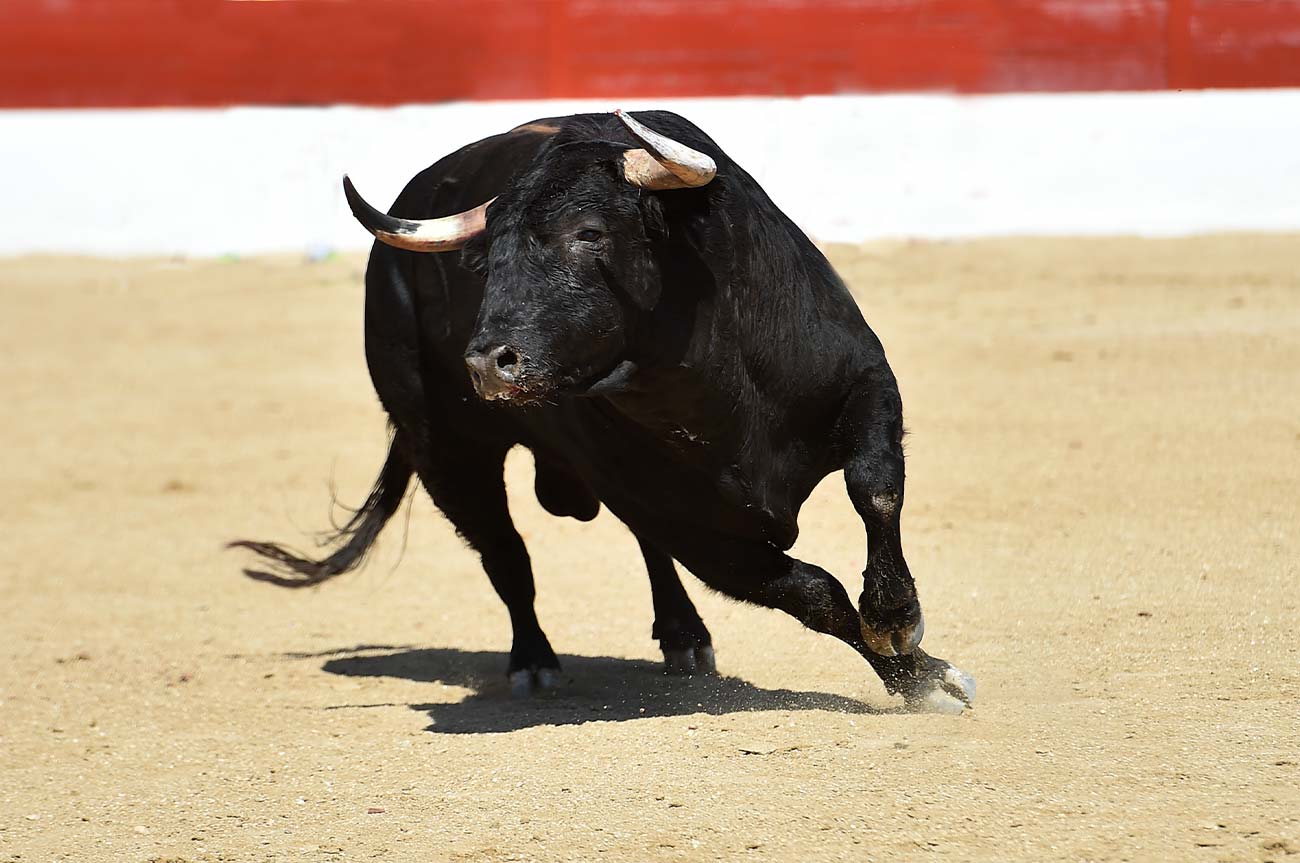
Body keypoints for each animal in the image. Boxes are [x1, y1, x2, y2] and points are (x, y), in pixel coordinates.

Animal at [236, 109, 977, 712]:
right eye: (484, 259)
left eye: (588, 232)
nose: (486, 364)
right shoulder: (694, 526)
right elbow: (812, 591)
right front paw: (924, 678)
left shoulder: (864, 380)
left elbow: (875, 488)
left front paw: (899, 621)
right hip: (447, 450)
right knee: (506, 552)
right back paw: (535, 662)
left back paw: (683, 639)